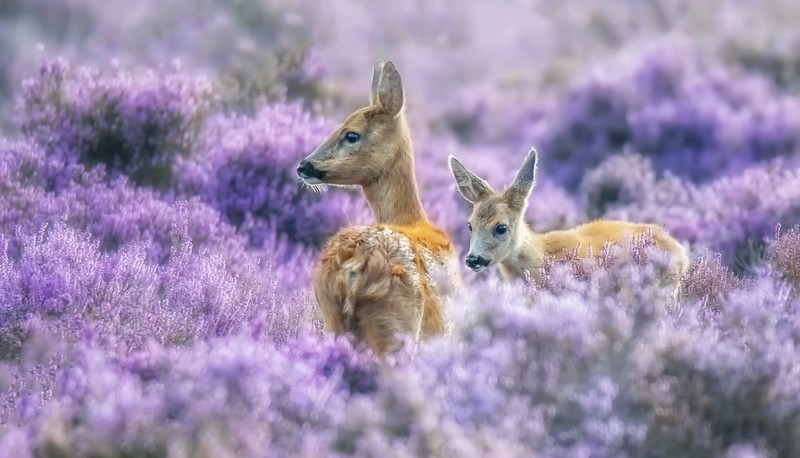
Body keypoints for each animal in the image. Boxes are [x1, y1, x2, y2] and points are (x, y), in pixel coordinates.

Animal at [296, 60, 459, 357]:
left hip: (331, 317)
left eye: (351, 134)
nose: (304, 166)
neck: (413, 220)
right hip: (395, 326)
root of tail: (353, 266)